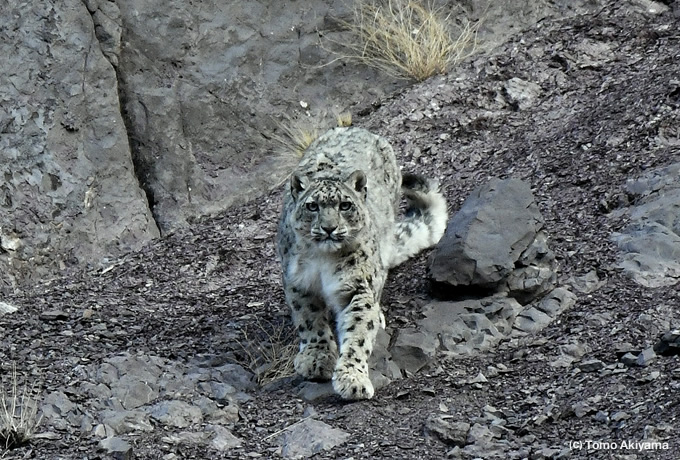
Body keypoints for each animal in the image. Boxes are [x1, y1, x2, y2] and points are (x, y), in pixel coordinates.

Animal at [276, 127, 446, 400]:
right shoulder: (298, 282)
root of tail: (358, 128)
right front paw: (316, 358)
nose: (329, 228)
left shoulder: (357, 285)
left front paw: (352, 378)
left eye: (345, 205)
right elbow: (309, 320)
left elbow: (358, 330)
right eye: (312, 206)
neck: (322, 261)